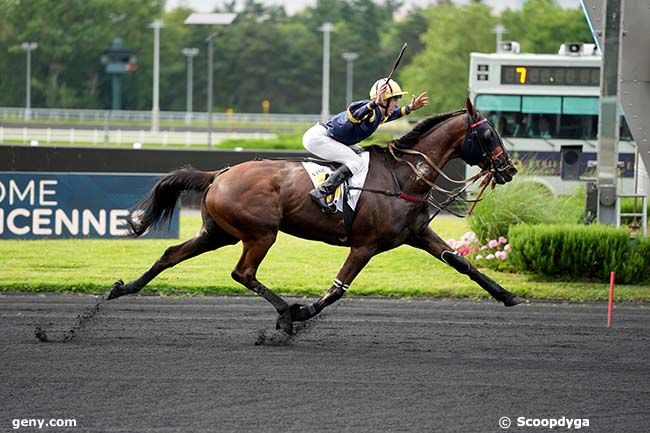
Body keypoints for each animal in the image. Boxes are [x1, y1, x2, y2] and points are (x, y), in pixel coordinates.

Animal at [106, 99, 520, 332]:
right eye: (489, 135)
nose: (509, 169)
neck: (403, 176)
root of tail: (219, 174)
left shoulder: (417, 233)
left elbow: (462, 263)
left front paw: (508, 295)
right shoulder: (365, 245)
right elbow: (337, 289)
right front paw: (303, 311)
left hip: (218, 233)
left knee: (171, 254)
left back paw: (123, 288)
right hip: (260, 233)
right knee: (243, 273)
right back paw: (286, 314)